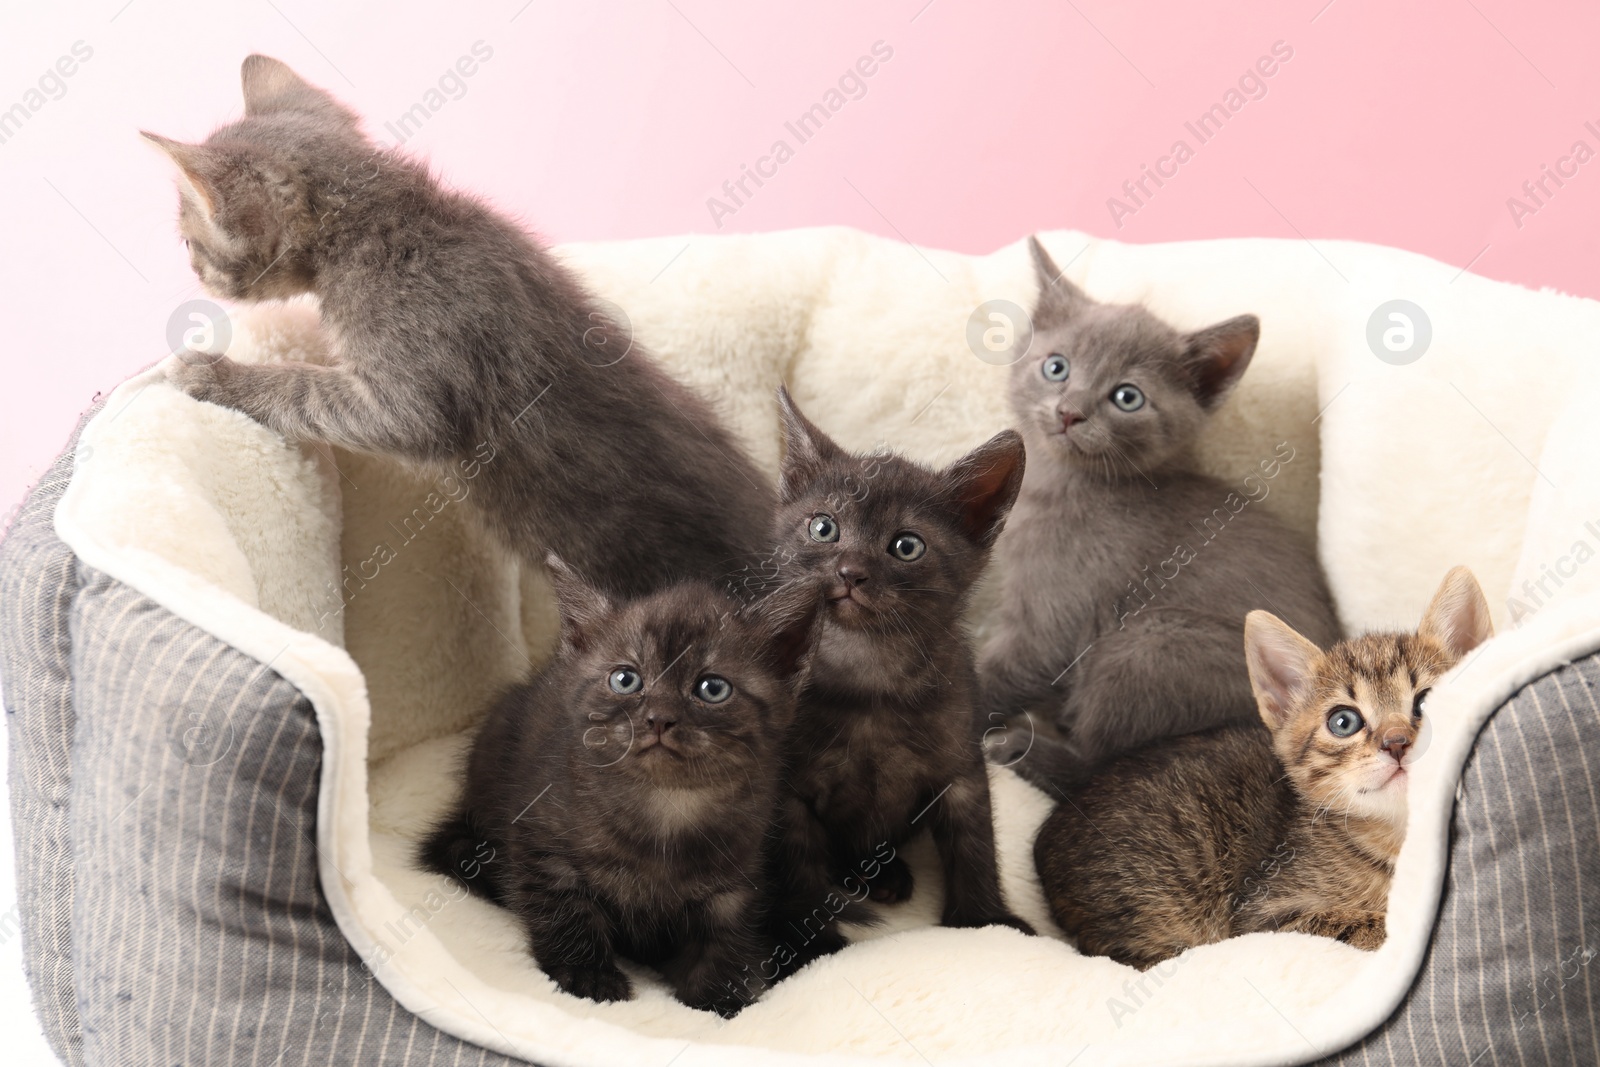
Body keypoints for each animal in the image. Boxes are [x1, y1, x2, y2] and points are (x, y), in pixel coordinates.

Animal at [145, 56, 774, 601]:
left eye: (187, 241)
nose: (193, 270)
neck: (392, 219)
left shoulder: (414, 390)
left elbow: (310, 388)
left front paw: (217, 375)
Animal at [419, 559, 819, 1017]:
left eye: (713, 688)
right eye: (625, 680)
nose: (659, 718)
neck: (667, 804)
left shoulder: (736, 879)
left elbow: (726, 940)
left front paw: (720, 999)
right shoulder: (543, 844)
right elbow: (565, 910)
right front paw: (588, 975)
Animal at [764, 385, 1036, 953]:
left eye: (906, 546)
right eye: (823, 527)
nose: (850, 571)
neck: (870, 672)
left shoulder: (961, 768)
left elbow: (975, 846)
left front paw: (986, 921)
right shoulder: (787, 790)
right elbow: (798, 866)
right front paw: (813, 947)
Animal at [979, 239, 1344, 793]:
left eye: (1127, 397)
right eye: (1057, 367)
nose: (1069, 411)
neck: (1063, 486)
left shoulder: (1048, 628)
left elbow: (990, 679)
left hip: (1148, 643)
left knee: (1095, 761)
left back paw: (1022, 748)